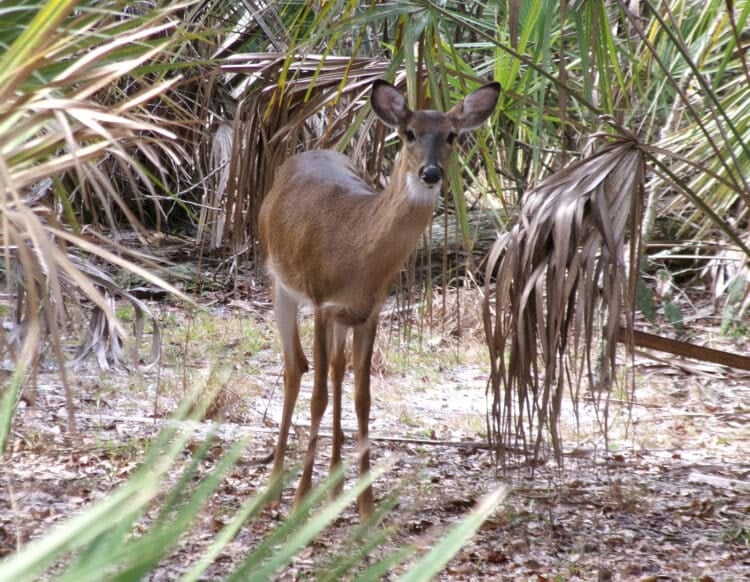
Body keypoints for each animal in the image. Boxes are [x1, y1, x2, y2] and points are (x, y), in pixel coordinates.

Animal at [258, 79, 500, 519]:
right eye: (409, 134)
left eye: (452, 136)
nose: (430, 172)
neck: (357, 253)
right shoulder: (321, 303)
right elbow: (317, 397)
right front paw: (301, 500)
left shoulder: (370, 312)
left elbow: (363, 398)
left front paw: (367, 506)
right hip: (278, 281)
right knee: (295, 368)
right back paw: (274, 487)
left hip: (340, 317)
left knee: (336, 370)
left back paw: (335, 487)